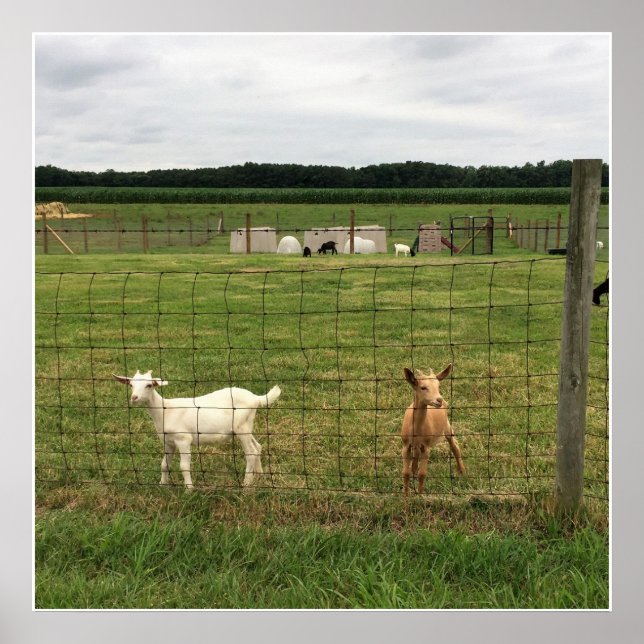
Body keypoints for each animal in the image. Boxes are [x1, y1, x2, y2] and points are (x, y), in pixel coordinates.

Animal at [113, 370, 281, 489]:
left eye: (149, 385)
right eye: (131, 385)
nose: (134, 398)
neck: (165, 411)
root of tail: (256, 398)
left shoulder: (183, 439)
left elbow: (184, 466)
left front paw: (189, 489)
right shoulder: (168, 442)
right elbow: (164, 464)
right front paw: (162, 485)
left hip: (241, 426)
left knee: (251, 452)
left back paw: (246, 484)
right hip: (246, 425)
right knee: (257, 447)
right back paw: (260, 476)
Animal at [400, 365, 465, 495]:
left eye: (438, 386)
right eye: (423, 387)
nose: (439, 400)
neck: (416, 429)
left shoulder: (427, 446)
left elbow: (422, 474)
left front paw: (420, 495)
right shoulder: (405, 445)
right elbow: (405, 473)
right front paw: (405, 495)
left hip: (447, 427)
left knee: (455, 446)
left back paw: (462, 471)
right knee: (416, 456)